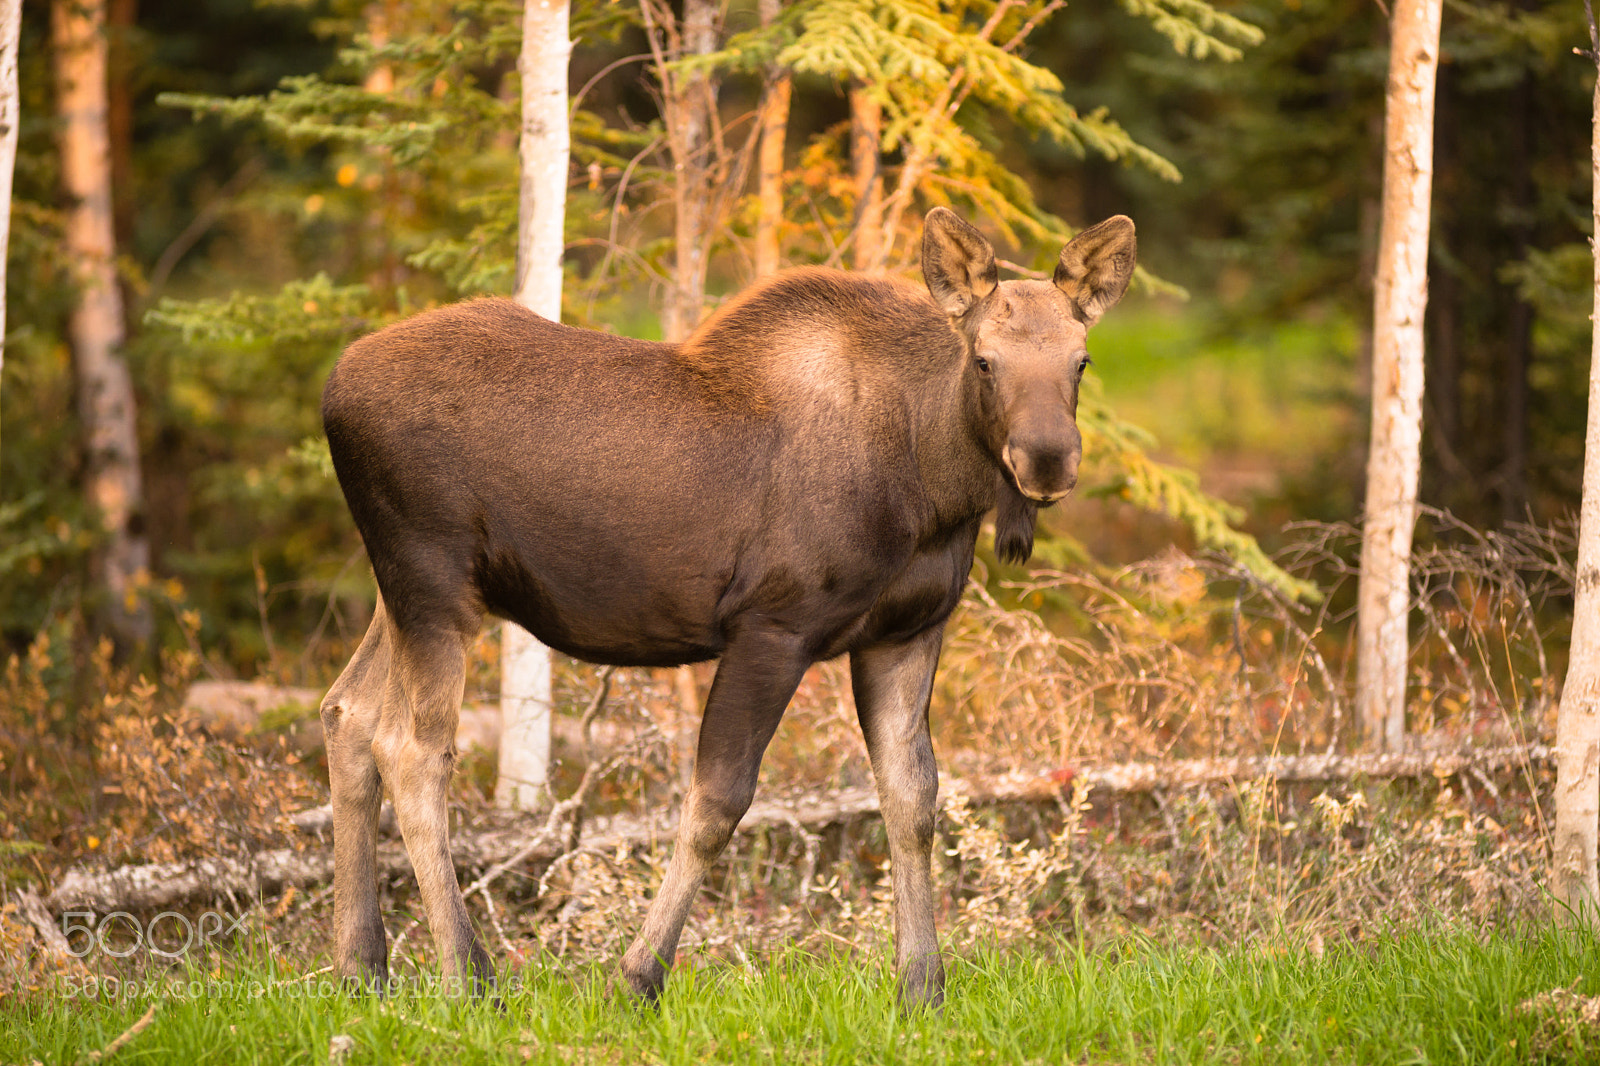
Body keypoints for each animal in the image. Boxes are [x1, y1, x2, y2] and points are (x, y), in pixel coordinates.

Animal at [317, 207, 1136, 1011]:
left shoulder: (905, 633)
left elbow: (912, 801)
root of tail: (330, 391)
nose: (1047, 458)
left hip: (402, 593)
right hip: (433, 584)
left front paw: (921, 989)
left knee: (346, 711)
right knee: (411, 749)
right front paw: (636, 978)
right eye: (985, 360)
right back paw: (468, 977)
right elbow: (718, 803)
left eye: (1081, 361)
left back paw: (361, 967)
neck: (935, 488)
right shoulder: (773, 626)